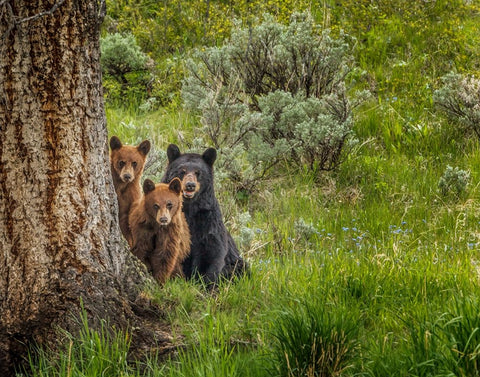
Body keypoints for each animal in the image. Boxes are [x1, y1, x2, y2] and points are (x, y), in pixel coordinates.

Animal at [163, 144, 249, 284]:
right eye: (182, 170)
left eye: (198, 172)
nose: (190, 185)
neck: (189, 208)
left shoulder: (208, 219)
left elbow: (212, 251)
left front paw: (206, 283)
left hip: (237, 263)